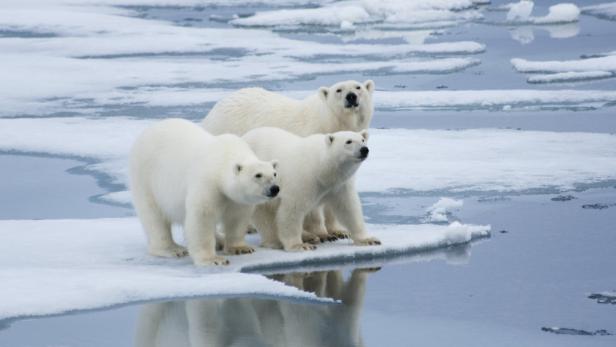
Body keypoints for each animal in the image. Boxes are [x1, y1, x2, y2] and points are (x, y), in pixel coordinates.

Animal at [130, 119, 280, 266]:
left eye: (274, 173)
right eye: (258, 175)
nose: (274, 189)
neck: (224, 158)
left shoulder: (237, 199)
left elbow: (237, 217)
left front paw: (240, 248)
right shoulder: (208, 183)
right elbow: (202, 217)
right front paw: (213, 259)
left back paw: (220, 240)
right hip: (146, 178)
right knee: (154, 216)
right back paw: (173, 249)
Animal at [242, 126, 378, 251]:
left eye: (363, 140)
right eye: (348, 141)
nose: (364, 149)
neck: (322, 168)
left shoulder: (339, 185)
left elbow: (348, 208)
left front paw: (368, 239)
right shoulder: (304, 179)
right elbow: (292, 210)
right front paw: (299, 245)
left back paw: (311, 236)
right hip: (260, 185)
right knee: (264, 213)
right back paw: (276, 241)